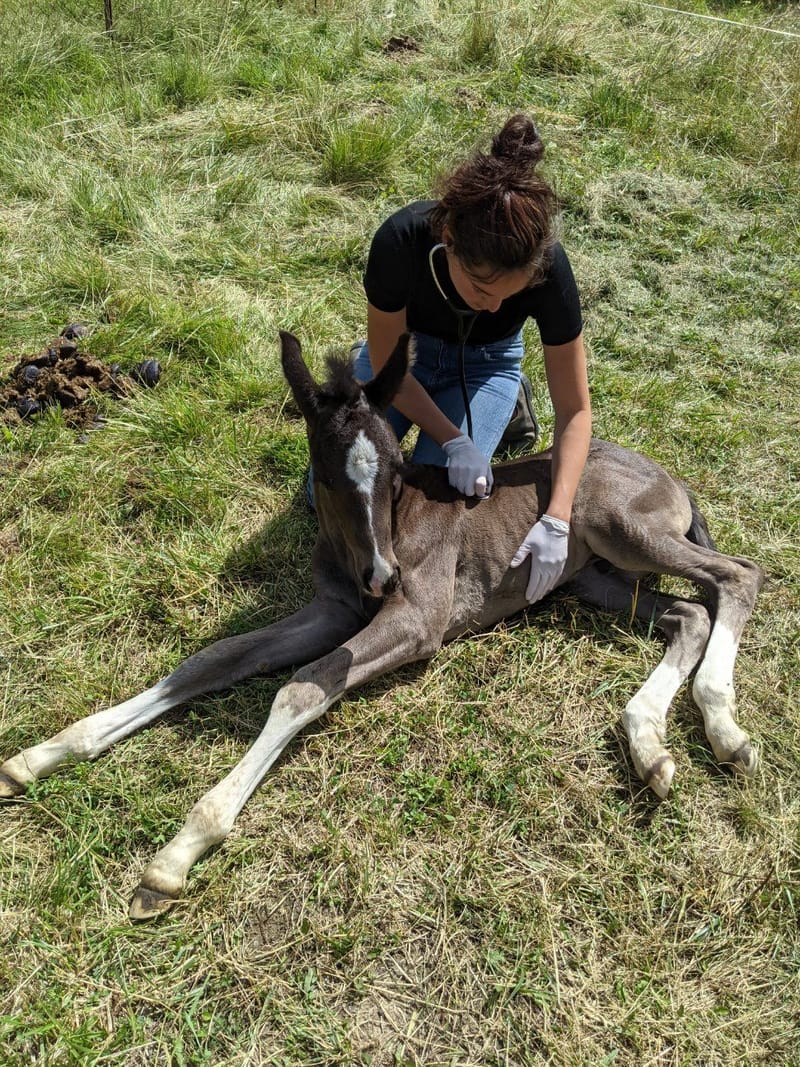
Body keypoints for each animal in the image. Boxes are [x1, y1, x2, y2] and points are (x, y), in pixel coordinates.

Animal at [0, 330, 763, 917]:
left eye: (398, 472)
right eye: (328, 476)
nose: (383, 577)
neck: (368, 546)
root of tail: (671, 477)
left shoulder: (417, 619)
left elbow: (301, 688)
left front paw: (180, 850)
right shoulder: (331, 610)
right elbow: (213, 660)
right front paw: (42, 754)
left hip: (617, 526)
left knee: (738, 576)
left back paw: (722, 726)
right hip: (594, 578)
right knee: (689, 612)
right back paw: (651, 745)